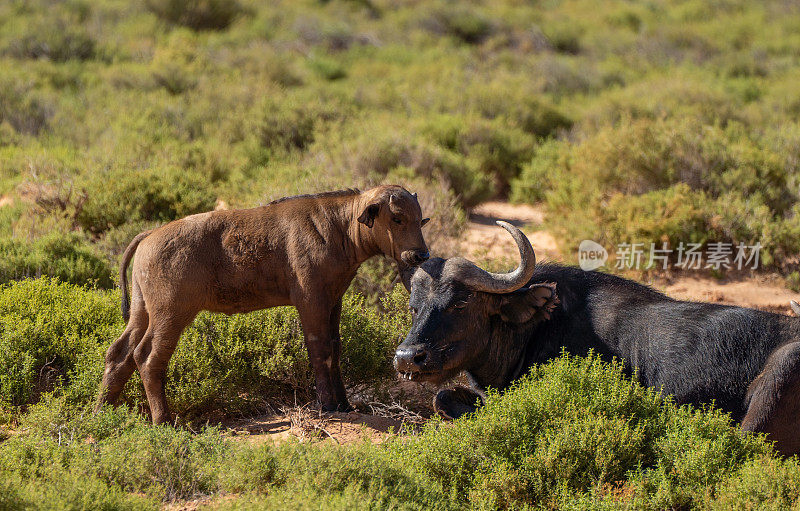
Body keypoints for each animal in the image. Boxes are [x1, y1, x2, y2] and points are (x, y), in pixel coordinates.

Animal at [94, 185, 432, 424]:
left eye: (420, 219)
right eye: (397, 218)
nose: (421, 255)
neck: (338, 226)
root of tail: (151, 233)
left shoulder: (333, 301)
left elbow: (335, 349)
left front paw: (345, 404)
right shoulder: (310, 302)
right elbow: (320, 350)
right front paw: (328, 405)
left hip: (141, 313)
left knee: (119, 353)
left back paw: (100, 413)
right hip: (171, 316)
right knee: (148, 358)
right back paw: (163, 420)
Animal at [400, 223, 800, 456]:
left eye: (462, 301)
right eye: (413, 306)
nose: (407, 357)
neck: (537, 328)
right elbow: (442, 396)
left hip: (782, 370)